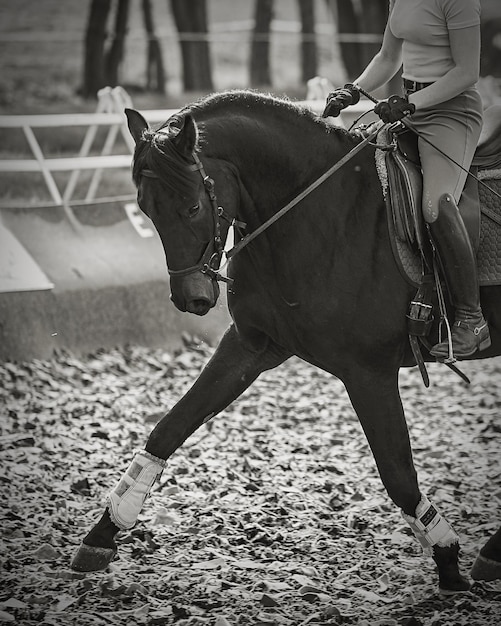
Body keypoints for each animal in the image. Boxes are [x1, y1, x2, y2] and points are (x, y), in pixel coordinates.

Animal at [70, 90, 500, 588]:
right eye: (144, 208)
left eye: (194, 207)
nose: (190, 298)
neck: (318, 212)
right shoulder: (252, 344)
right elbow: (170, 428)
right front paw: (102, 533)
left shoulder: (367, 372)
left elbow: (396, 472)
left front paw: (446, 557)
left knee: (439, 207)